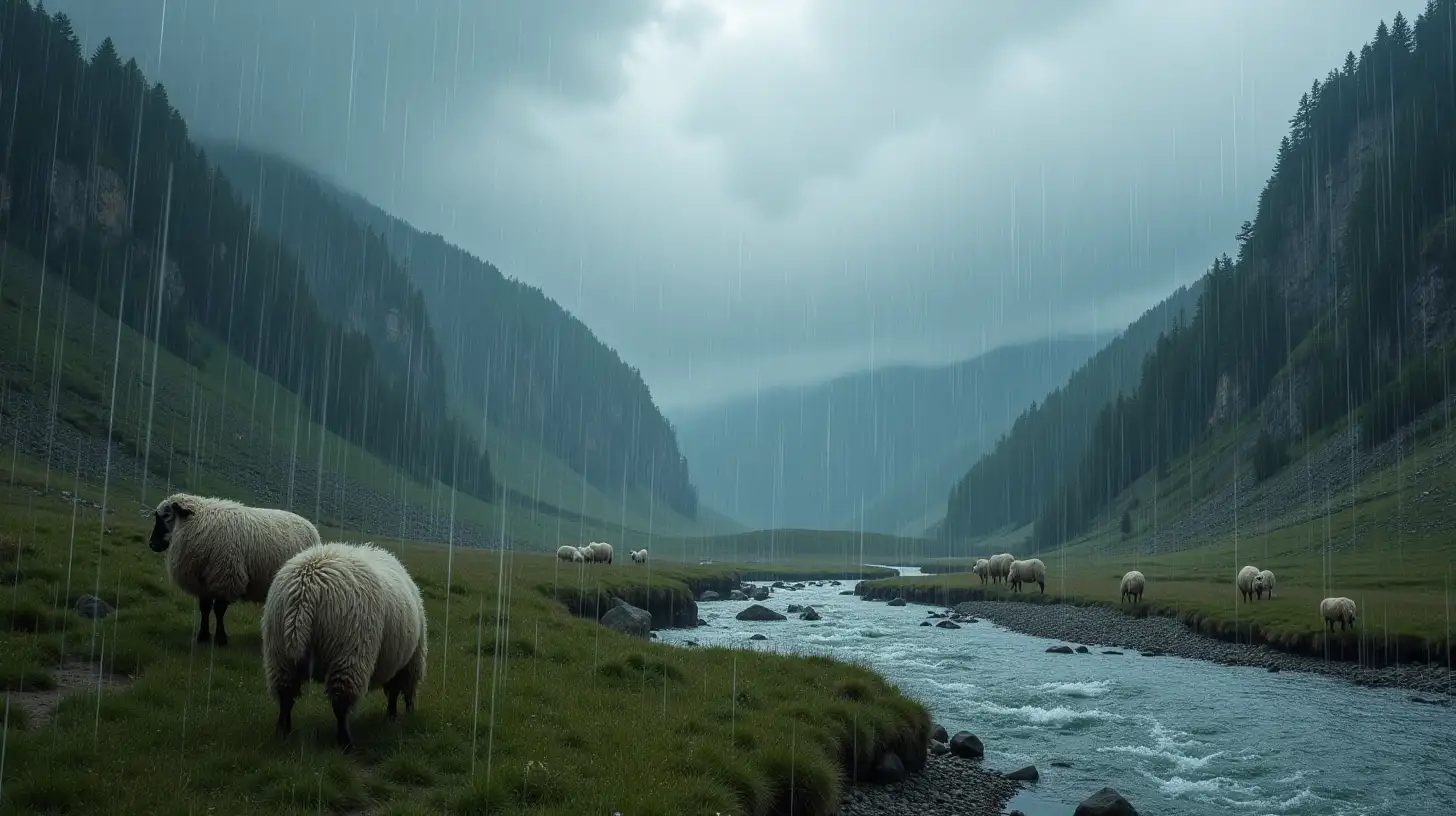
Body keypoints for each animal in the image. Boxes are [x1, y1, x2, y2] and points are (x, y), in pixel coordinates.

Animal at [147, 495, 318, 646]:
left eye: (167, 515)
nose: (152, 544)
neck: (199, 522)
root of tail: (311, 527)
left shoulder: (226, 576)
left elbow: (219, 609)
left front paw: (221, 639)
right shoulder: (203, 583)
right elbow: (205, 608)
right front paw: (203, 636)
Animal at [262, 542, 425, 751]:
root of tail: (305, 589)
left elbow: (395, 690)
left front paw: (393, 715)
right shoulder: (409, 661)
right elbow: (400, 690)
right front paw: (397, 714)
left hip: (279, 651)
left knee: (285, 694)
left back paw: (283, 731)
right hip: (349, 653)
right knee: (341, 703)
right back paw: (345, 742)